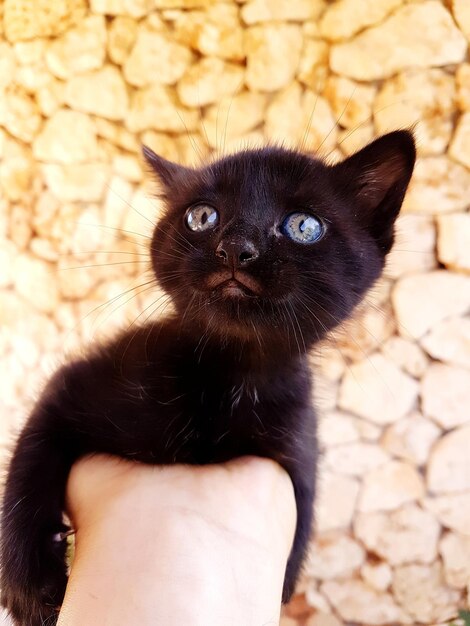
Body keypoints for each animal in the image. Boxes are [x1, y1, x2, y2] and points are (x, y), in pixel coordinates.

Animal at [2, 129, 414, 620]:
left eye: (304, 226)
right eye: (201, 216)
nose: (235, 247)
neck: (224, 374)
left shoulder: (295, 442)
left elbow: (296, 541)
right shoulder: (73, 385)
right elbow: (30, 460)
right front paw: (29, 582)